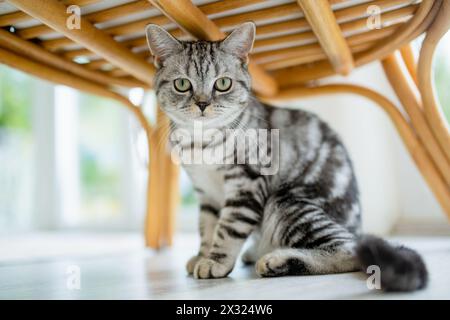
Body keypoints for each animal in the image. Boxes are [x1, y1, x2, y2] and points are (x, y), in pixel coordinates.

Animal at [146, 21, 428, 292]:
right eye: (182, 84)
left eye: (223, 83)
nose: (203, 103)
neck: (201, 143)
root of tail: (358, 227)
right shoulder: (206, 193)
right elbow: (207, 227)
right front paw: (202, 254)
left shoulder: (248, 181)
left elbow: (228, 228)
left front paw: (215, 262)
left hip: (287, 204)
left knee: (347, 249)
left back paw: (278, 261)